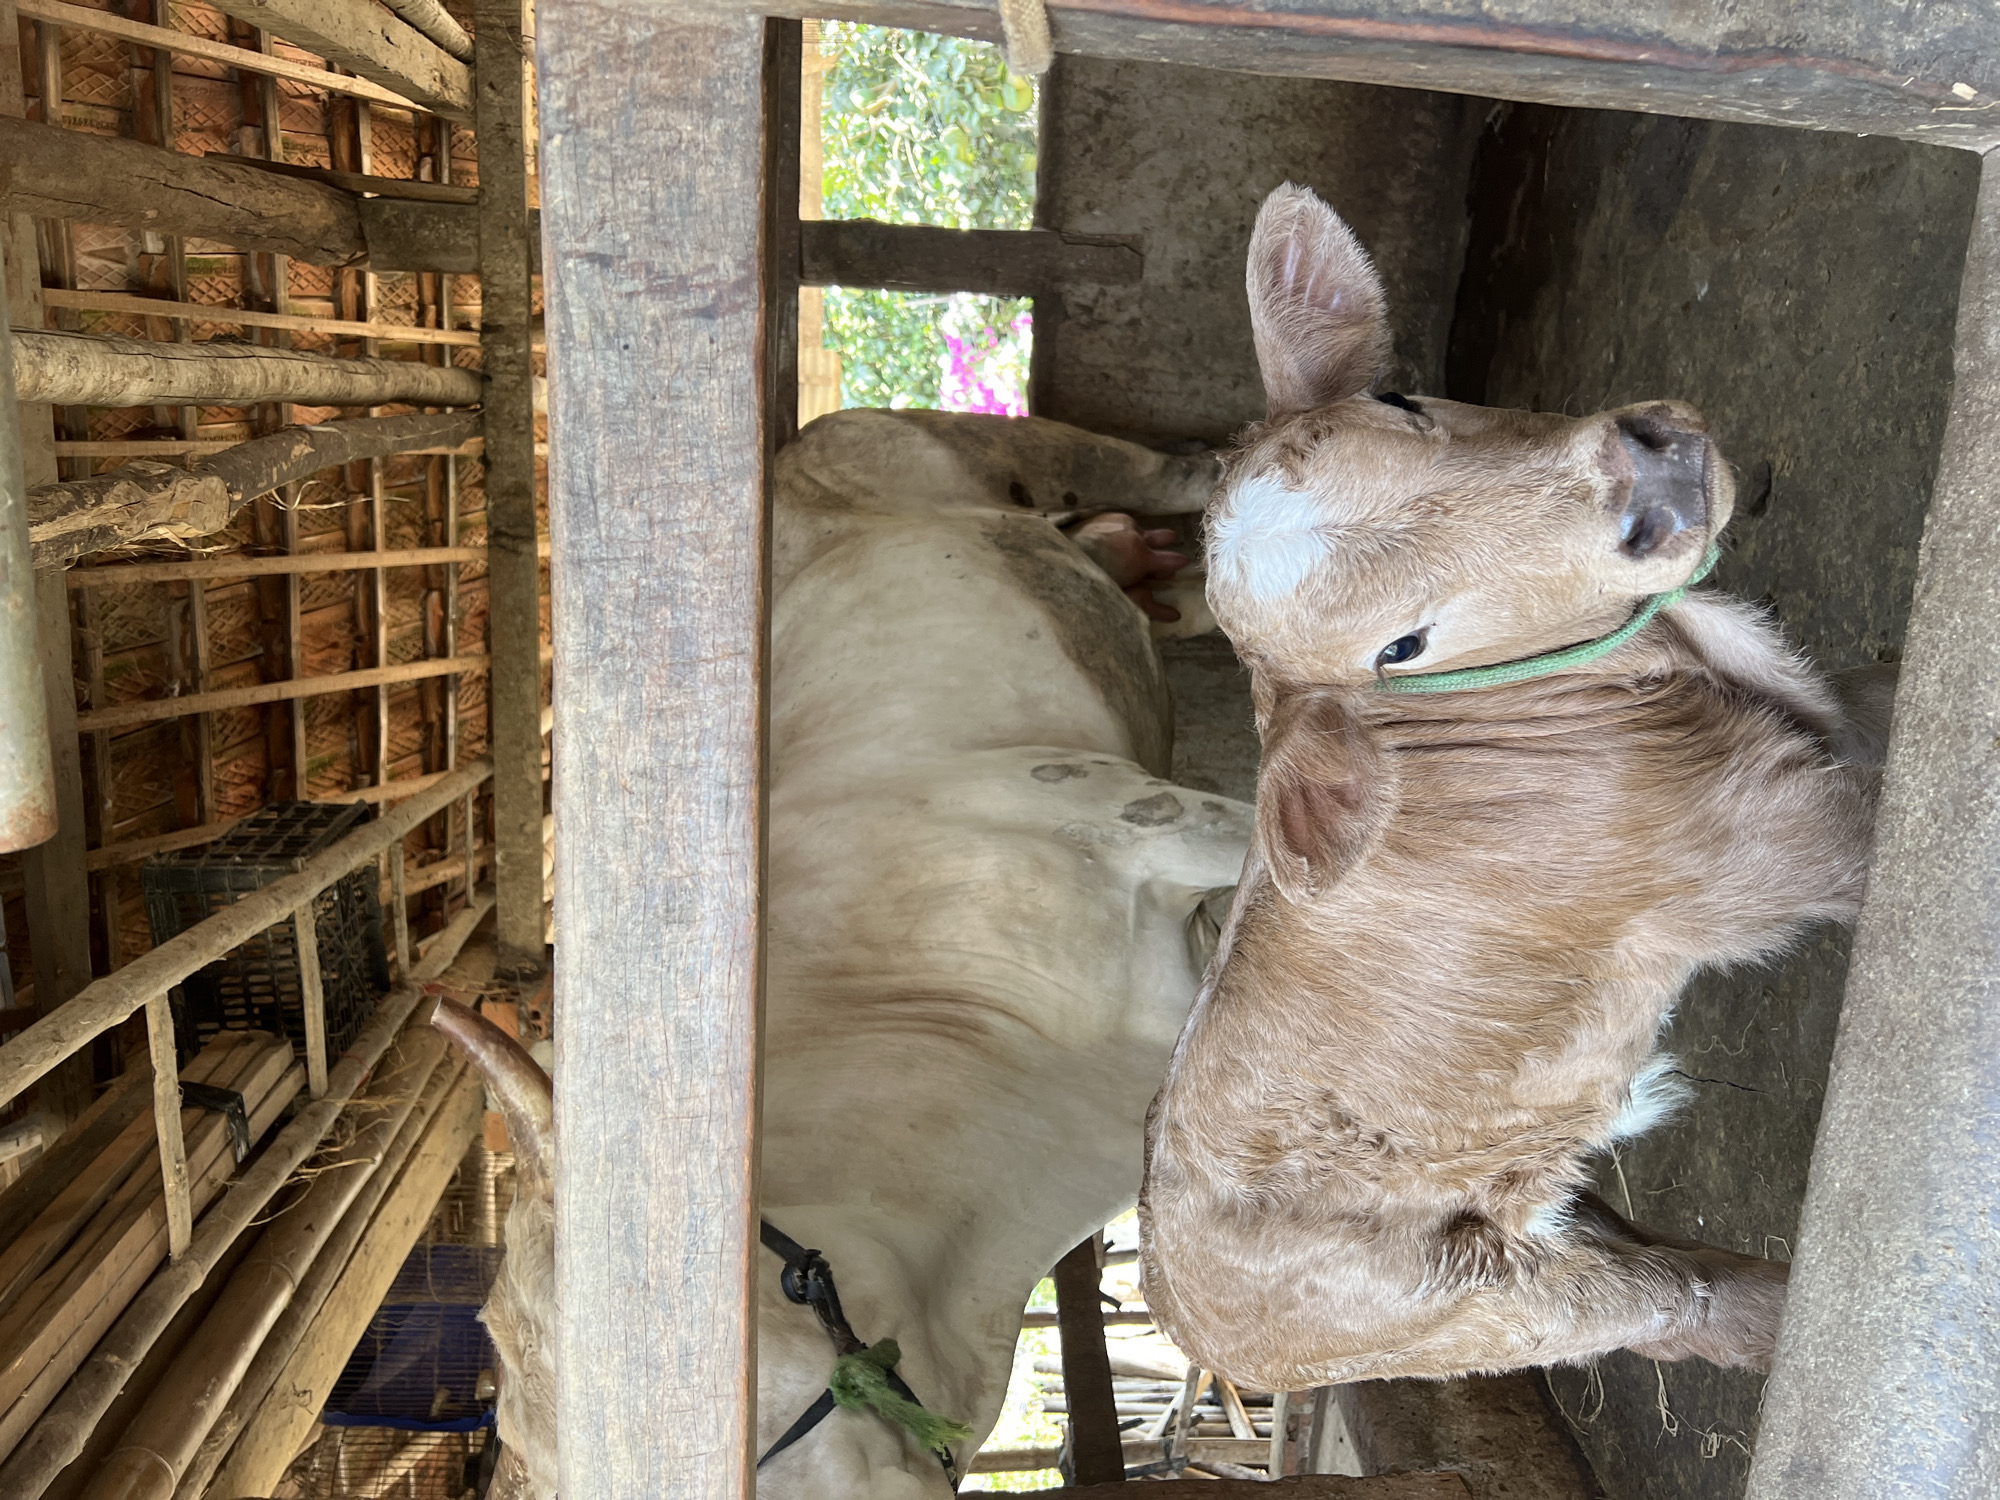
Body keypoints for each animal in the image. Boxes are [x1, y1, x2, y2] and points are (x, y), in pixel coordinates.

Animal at [1137, 183, 1888, 1396]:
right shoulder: (1773, 837)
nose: (1648, 482)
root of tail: (1179, 1312)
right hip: (1459, 1303)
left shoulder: (1825, 718)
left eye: (1403, 398)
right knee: (1655, 1302)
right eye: (1400, 648)